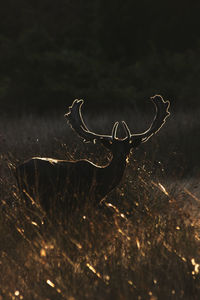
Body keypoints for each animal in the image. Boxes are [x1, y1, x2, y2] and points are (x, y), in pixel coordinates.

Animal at [15, 95, 170, 218]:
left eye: (129, 148)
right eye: (112, 148)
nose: (121, 157)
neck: (101, 182)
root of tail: (18, 169)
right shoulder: (81, 200)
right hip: (37, 193)